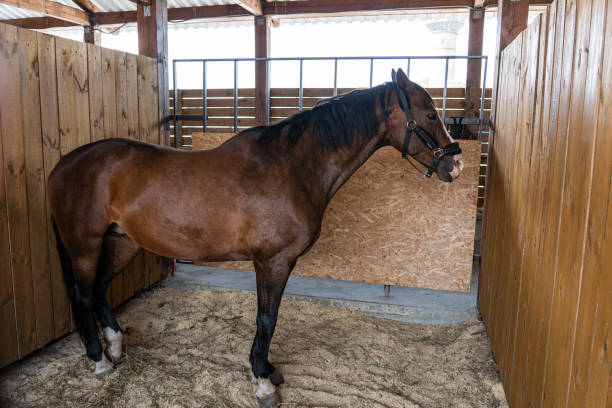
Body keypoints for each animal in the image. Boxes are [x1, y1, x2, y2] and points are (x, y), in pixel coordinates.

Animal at [45, 68, 462, 406]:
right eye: (429, 113)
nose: (456, 163)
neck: (291, 166)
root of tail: (63, 164)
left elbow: (269, 317)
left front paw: (267, 369)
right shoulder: (273, 261)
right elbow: (267, 318)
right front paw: (263, 381)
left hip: (122, 242)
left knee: (100, 289)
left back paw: (115, 348)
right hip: (85, 246)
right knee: (83, 295)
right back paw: (99, 361)